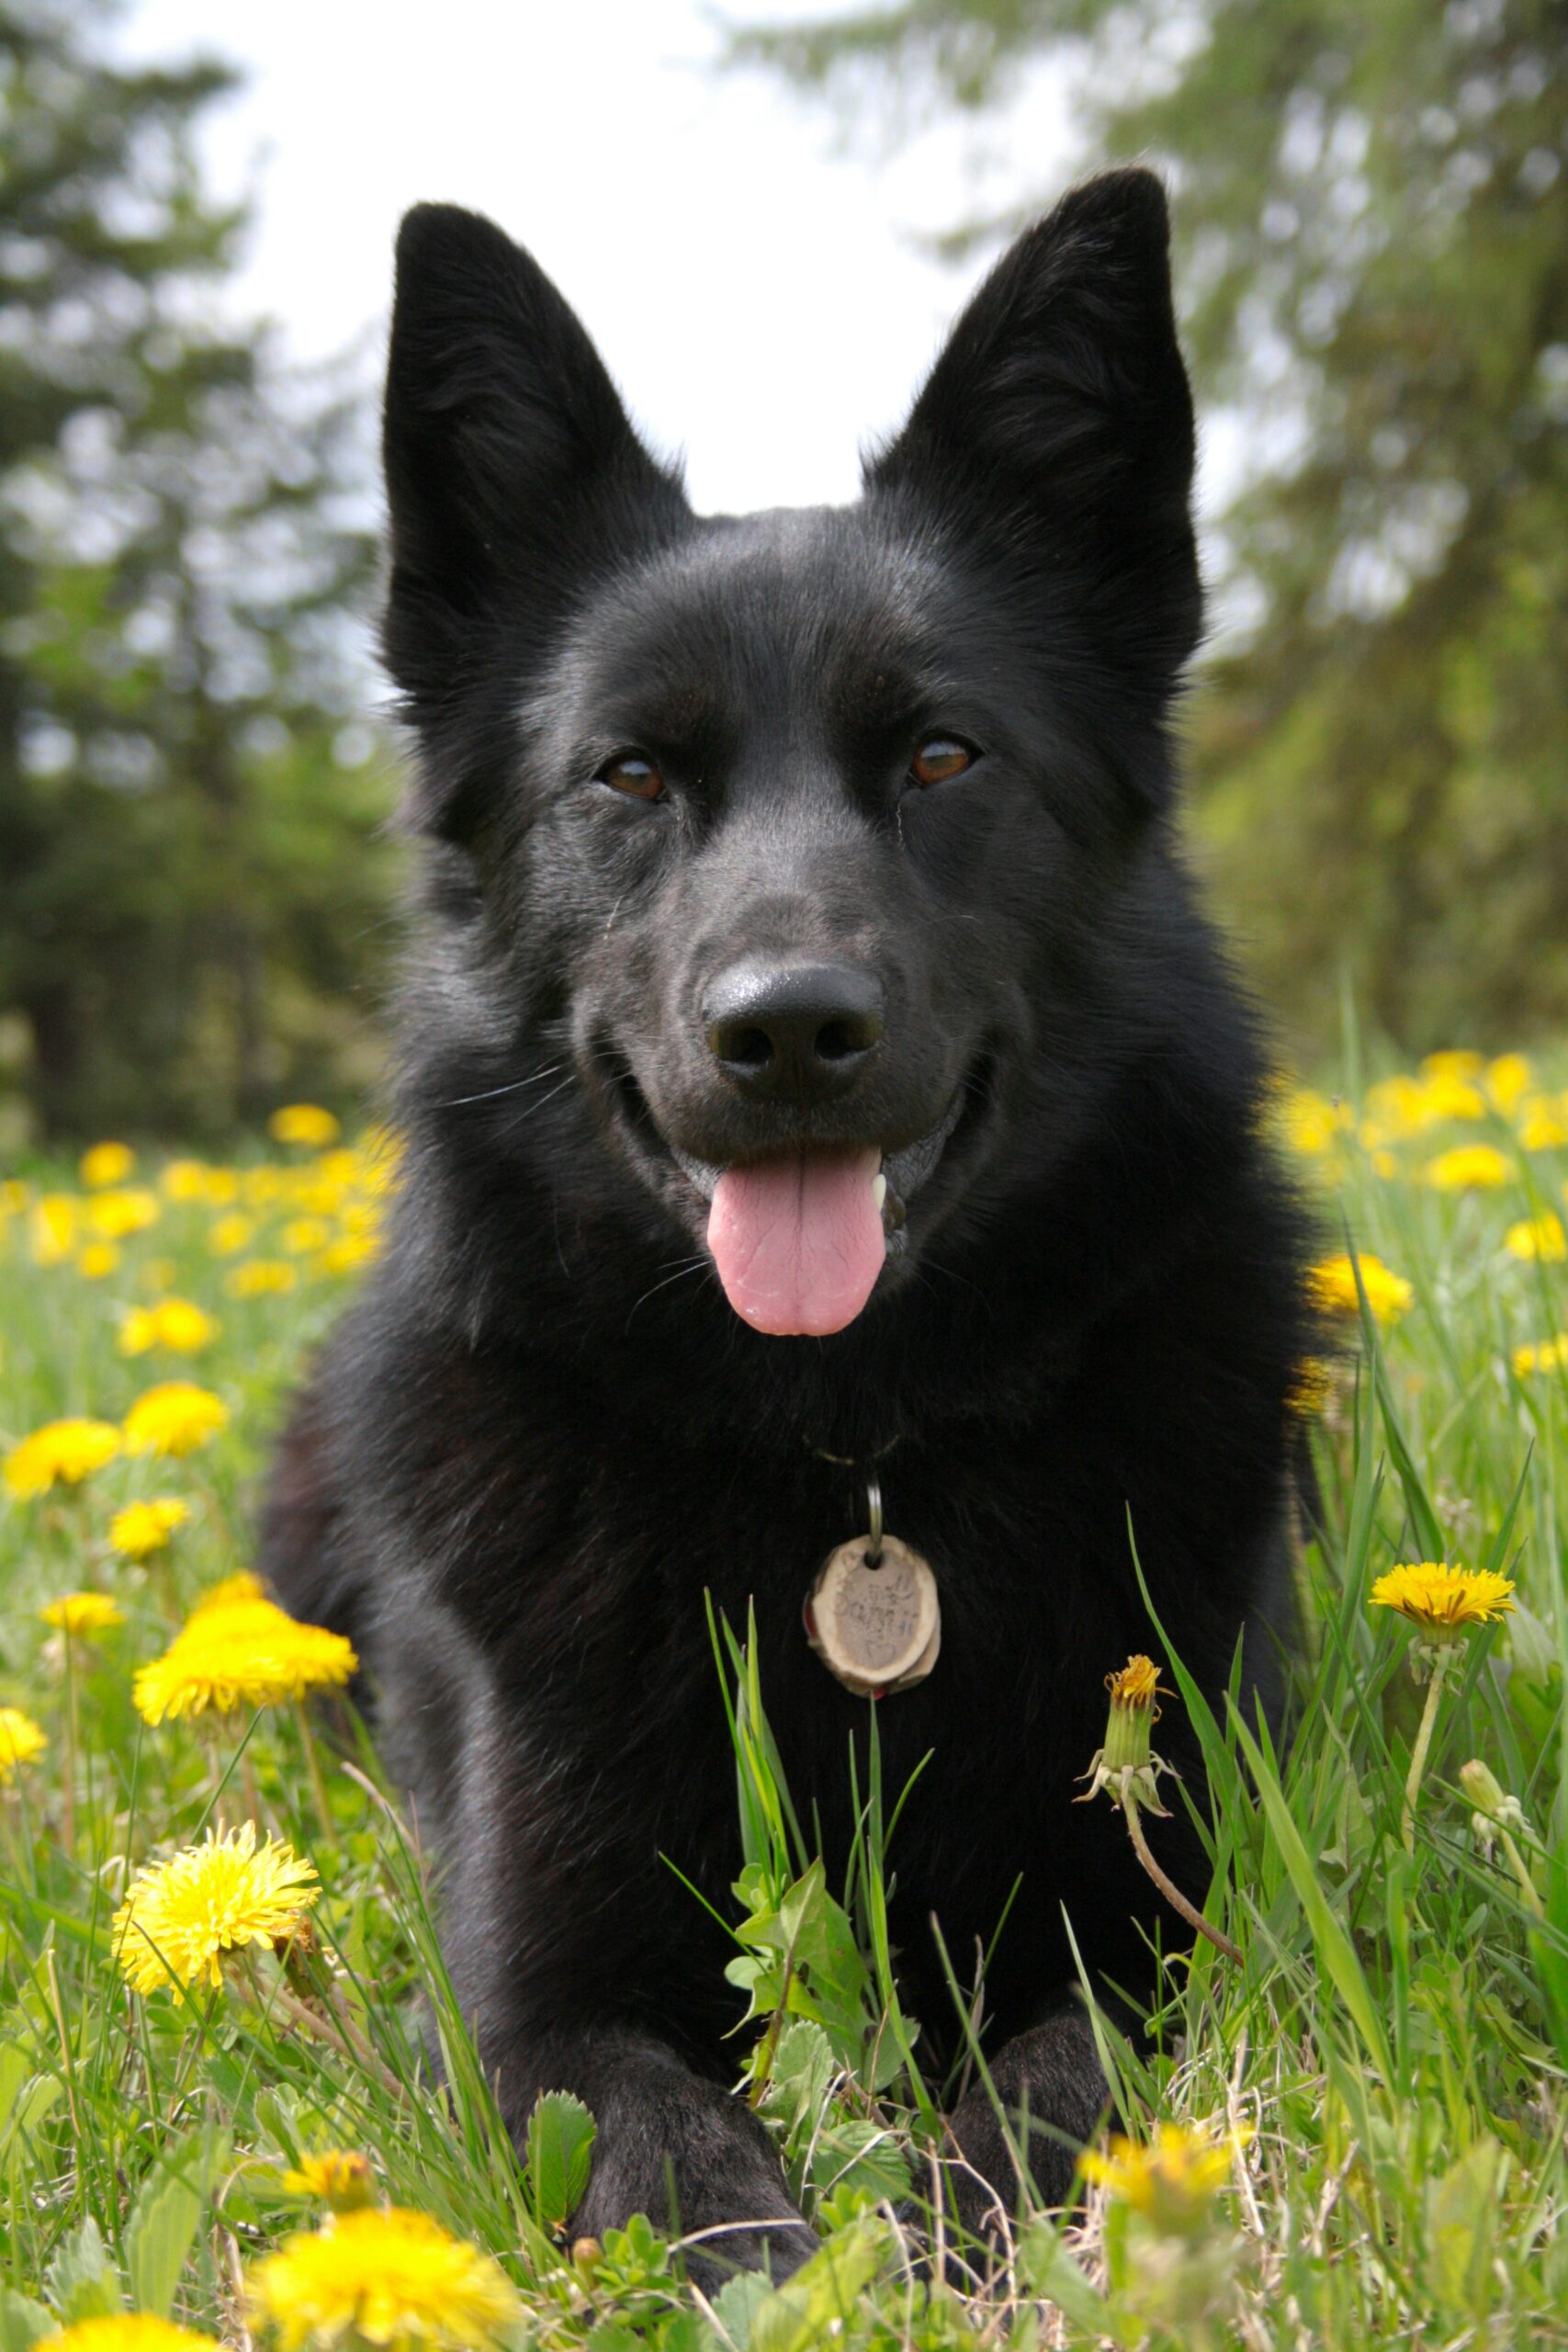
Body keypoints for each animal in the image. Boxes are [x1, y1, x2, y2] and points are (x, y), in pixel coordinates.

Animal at [261, 170, 1316, 2277]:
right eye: (629, 775)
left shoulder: (1168, 1913)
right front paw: (794, 2255)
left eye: (941, 757)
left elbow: (1060, 2078)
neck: (847, 1465)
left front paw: (940, 2226)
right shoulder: (534, 1985)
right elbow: (664, 2146)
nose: (788, 1032)